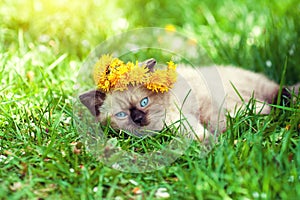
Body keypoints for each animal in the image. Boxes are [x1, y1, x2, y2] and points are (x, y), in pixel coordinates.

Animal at [78, 58, 298, 141]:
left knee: (277, 95)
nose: (139, 119)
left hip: (258, 89)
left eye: (144, 102)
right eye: (122, 115)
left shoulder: (181, 116)